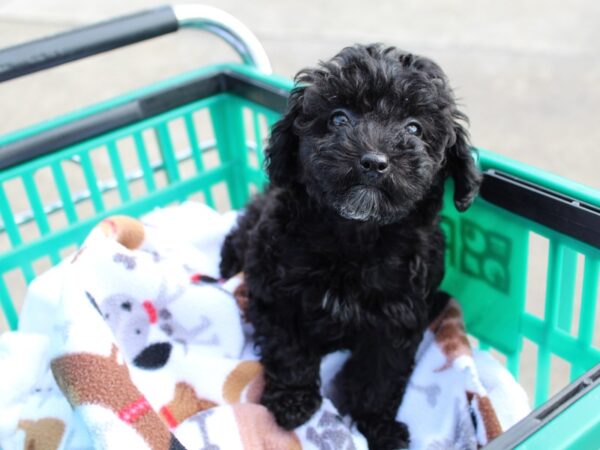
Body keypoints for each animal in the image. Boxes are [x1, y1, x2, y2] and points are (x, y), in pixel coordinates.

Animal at [221, 43, 482, 450]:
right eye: (339, 118)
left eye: (414, 128)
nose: (374, 162)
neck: (357, 237)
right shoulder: (276, 293)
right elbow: (289, 348)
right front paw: (293, 404)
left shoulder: (399, 318)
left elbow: (379, 375)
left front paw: (378, 427)